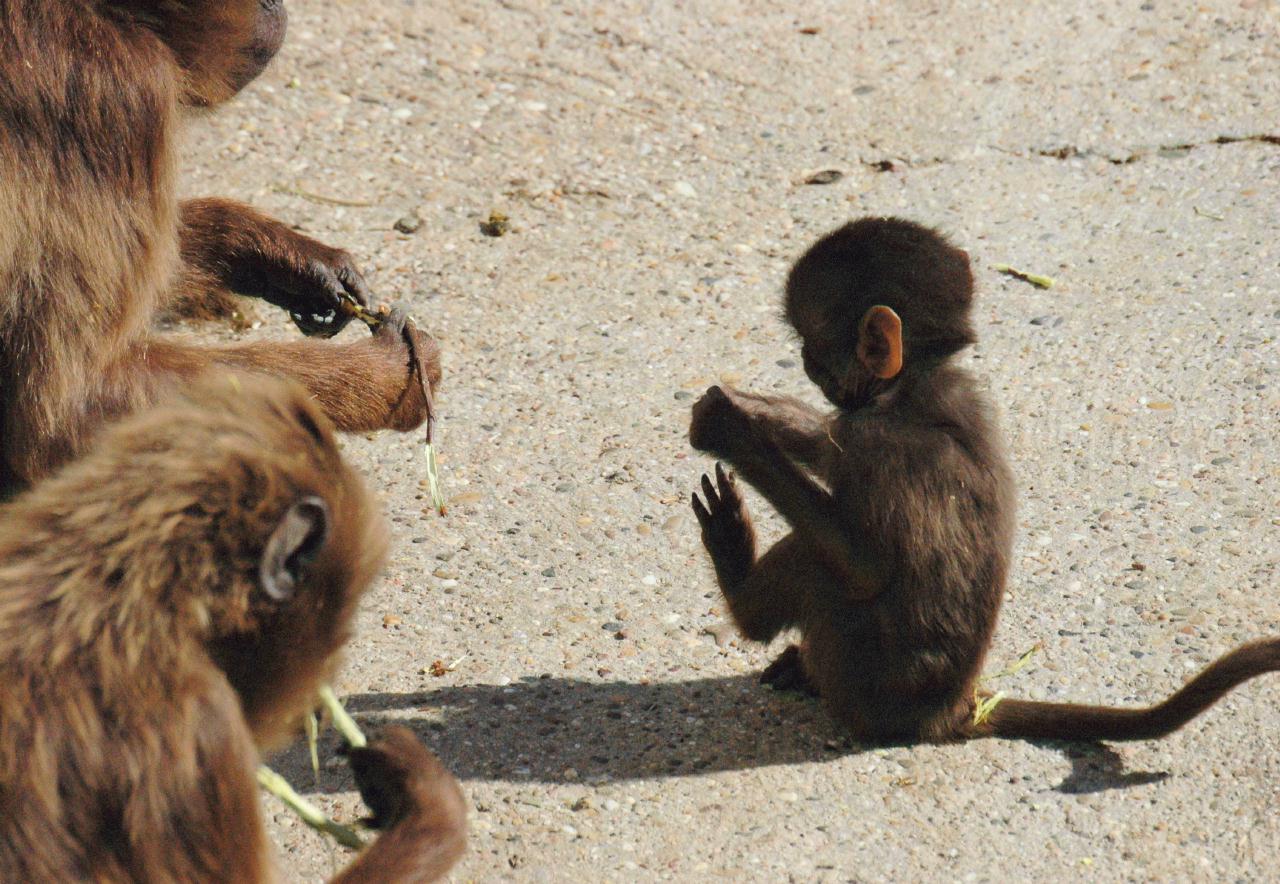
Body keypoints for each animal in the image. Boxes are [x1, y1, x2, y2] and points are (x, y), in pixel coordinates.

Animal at [691, 217, 1280, 741]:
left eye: (811, 343)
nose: (802, 359)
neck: (911, 388)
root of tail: (951, 709)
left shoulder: (877, 443)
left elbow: (864, 566)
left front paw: (734, 433)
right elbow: (824, 441)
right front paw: (752, 411)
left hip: (863, 682)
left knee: (822, 566)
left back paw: (738, 584)